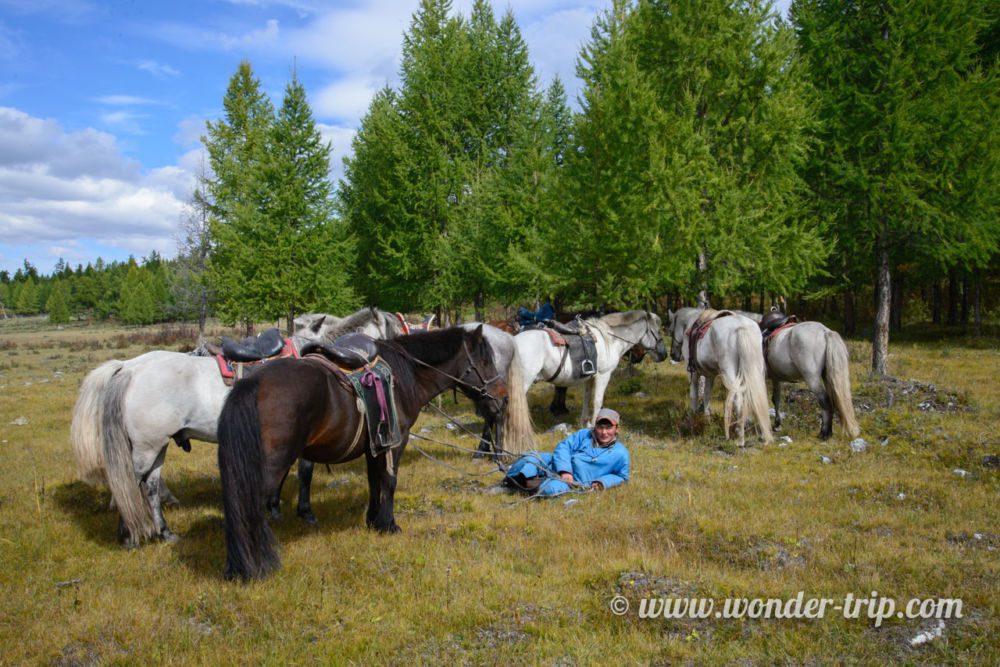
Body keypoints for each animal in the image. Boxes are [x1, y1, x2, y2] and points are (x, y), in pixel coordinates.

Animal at [69, 307, 403, 547]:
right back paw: (129, 537)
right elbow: (305, 472)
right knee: (130, 483)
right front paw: (304, 512)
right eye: (394, 327)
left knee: (150, 487)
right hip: (147, 447)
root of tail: (129, 368)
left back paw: (165, 533)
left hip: (157, 446)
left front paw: (274, 507)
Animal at [217, 325, 514, 581]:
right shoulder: (396, 441)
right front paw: (389, 524)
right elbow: (389, 481)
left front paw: (372, 520)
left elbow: (374, 480)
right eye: (485, 360)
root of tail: (255, 381)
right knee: (249, 507)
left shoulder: (375, 445)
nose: (503, 398)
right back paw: (254, 564)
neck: (404, 375)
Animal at [514, 310, 668, 426]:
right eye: (657, 331)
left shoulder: (589, 378)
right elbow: (597, 401)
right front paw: (594, 425)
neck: (609, 339)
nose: (664, 354)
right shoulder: (603, 375)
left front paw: (584, 423)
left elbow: (587, 399)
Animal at [676, 312, 773, 447]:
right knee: (756, 397)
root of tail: (742, 327)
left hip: (729, 372)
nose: (673, 355)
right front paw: (707, 420)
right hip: (755, 370)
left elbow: (694, 395)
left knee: (737, 399)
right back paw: (761, 434)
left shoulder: (693, 373)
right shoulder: (710, 375)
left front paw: (692, 421)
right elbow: (707, 395)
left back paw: (740, 437)